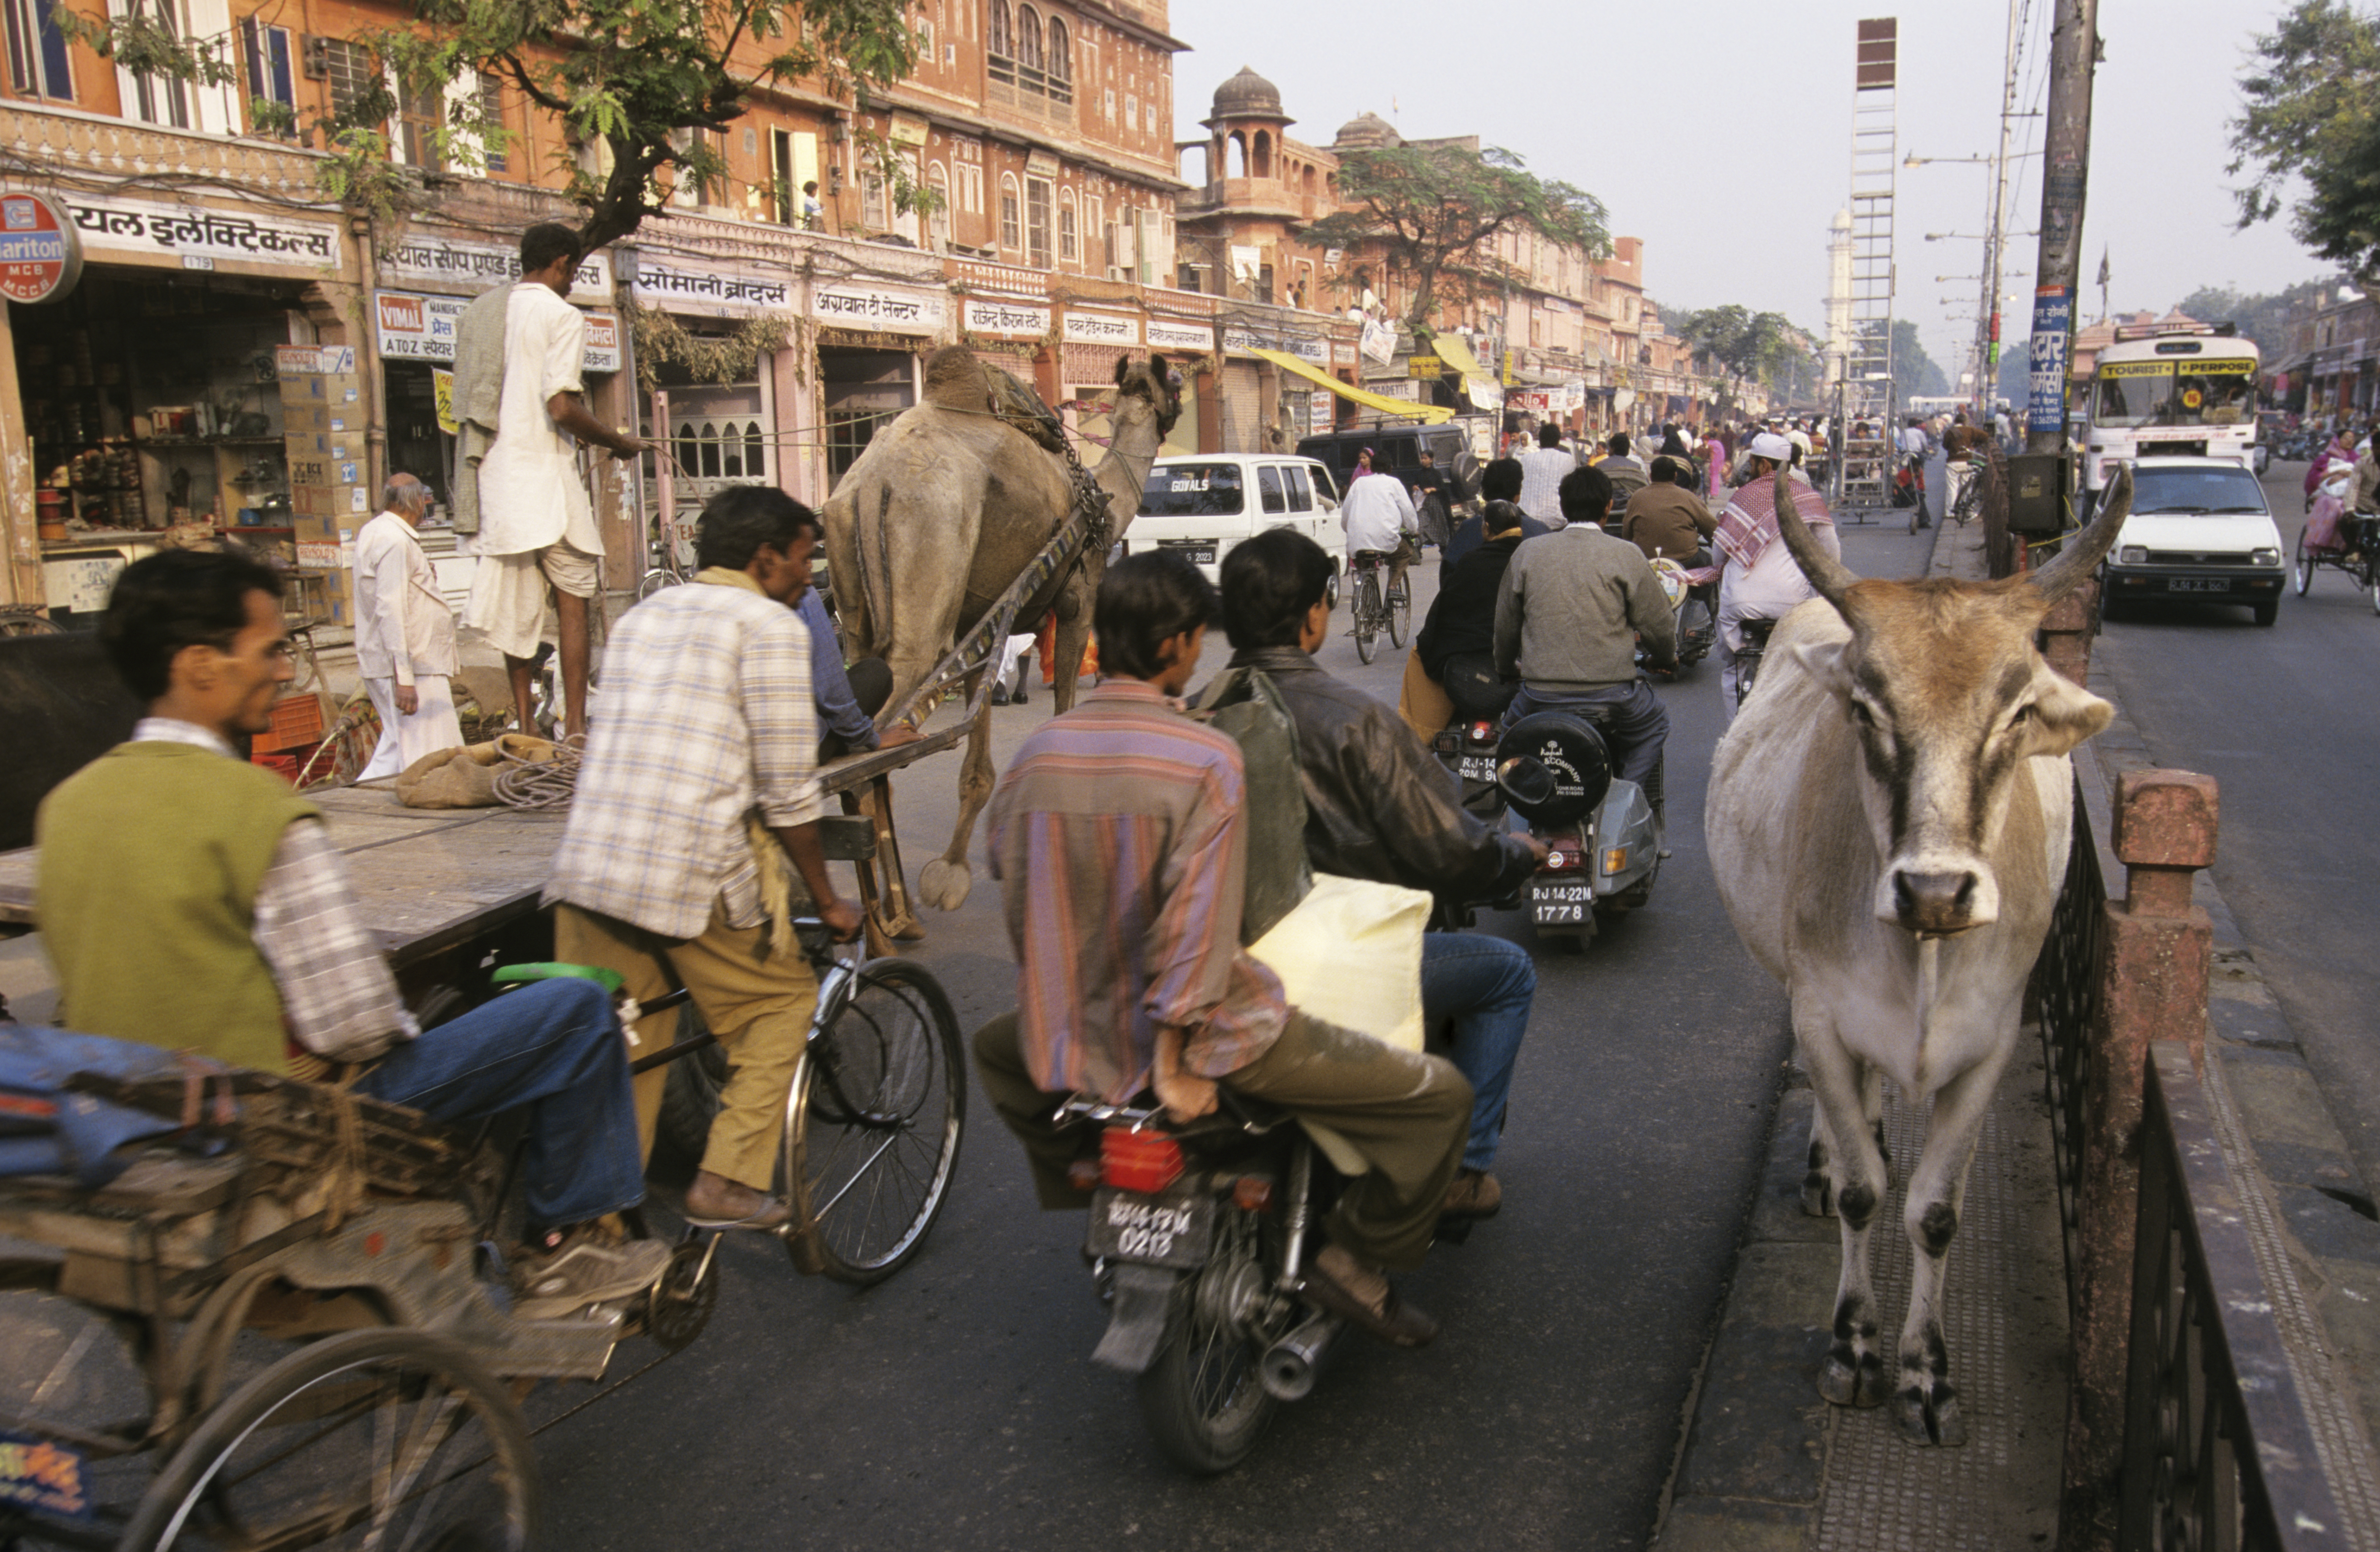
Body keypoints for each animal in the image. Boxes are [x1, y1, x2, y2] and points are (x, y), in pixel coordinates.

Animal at [823, 345, 1185, 914]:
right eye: (1172, 381)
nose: (1181, 393)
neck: (1103, 500)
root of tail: (873, 482)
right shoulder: (1079, 601)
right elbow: (1063, 707)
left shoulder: (984, 621)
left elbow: (976, 766)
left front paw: (951, 870)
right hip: (929, 549)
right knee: (873, 746)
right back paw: (891, 918)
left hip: (850, 585)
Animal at [1704, 466, 2132, 1447]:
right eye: (1867, 708)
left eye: (2018, 710)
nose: (1936, 889)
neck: (1924, 953)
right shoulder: (1823, 1017)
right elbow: (1865, 1192)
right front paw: (1856, 1349)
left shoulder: (1992, 1043)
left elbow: (1936, 1211)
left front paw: (1928, 1373)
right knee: (1844, 1124)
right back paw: (1825, 1164)